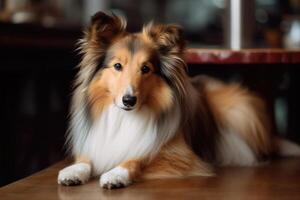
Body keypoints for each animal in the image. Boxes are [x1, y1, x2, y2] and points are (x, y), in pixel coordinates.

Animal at [56, 11, 300, 189]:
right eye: (117, 66)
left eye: (146, 69)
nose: (129, 100)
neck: (125, 117)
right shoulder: (95, 141)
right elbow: (85, 158)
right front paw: (74, 171)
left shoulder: (177, 154)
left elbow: (138, 157)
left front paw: (116, 173)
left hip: (237, 109)